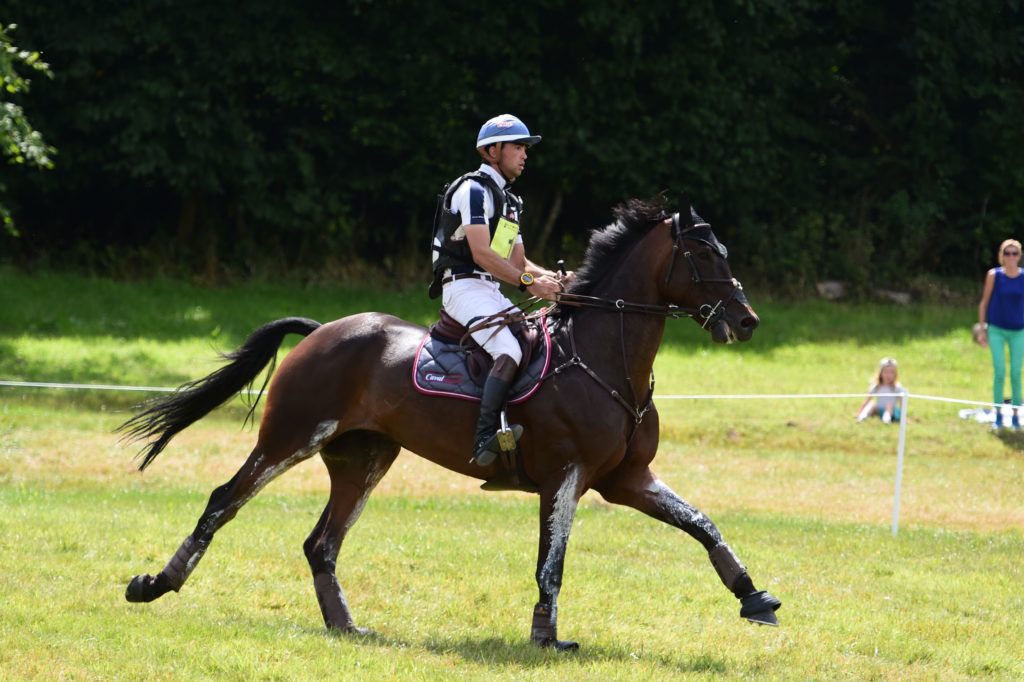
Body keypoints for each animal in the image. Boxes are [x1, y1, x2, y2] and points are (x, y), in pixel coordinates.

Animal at [121, 195, 782, 647]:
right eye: (703, 253)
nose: (747, 320)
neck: (604, 357)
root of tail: (321, 331)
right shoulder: (565, 476)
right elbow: (552, 562)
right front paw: (546, 637)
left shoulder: (627, 479)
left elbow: (703, 524)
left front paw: (754, 597)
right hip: (291, 438)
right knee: (224, 500)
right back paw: (155, 584)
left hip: (363, 459)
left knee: (321, 543)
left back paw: (347, 626)